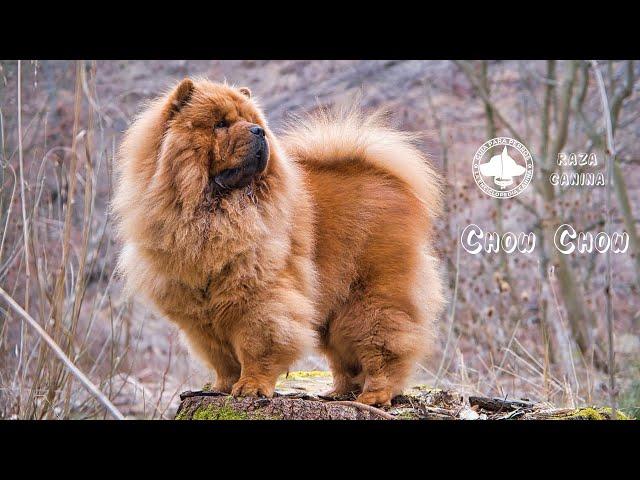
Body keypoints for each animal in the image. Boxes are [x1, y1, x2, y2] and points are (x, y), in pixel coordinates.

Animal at [114, 79, 444, 404]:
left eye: (254, 122)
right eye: (220, 124)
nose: (258, 131)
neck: (214, 214)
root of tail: (383, 176)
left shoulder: (260, 297)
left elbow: (256, 345)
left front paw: (251, 387)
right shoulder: (199, 315)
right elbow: (221, 357)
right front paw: (222, 387)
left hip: (370, 296)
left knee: (384, 343)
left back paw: (374, 396)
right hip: (333, 305)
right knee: (343, 354)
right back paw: (337, 393)